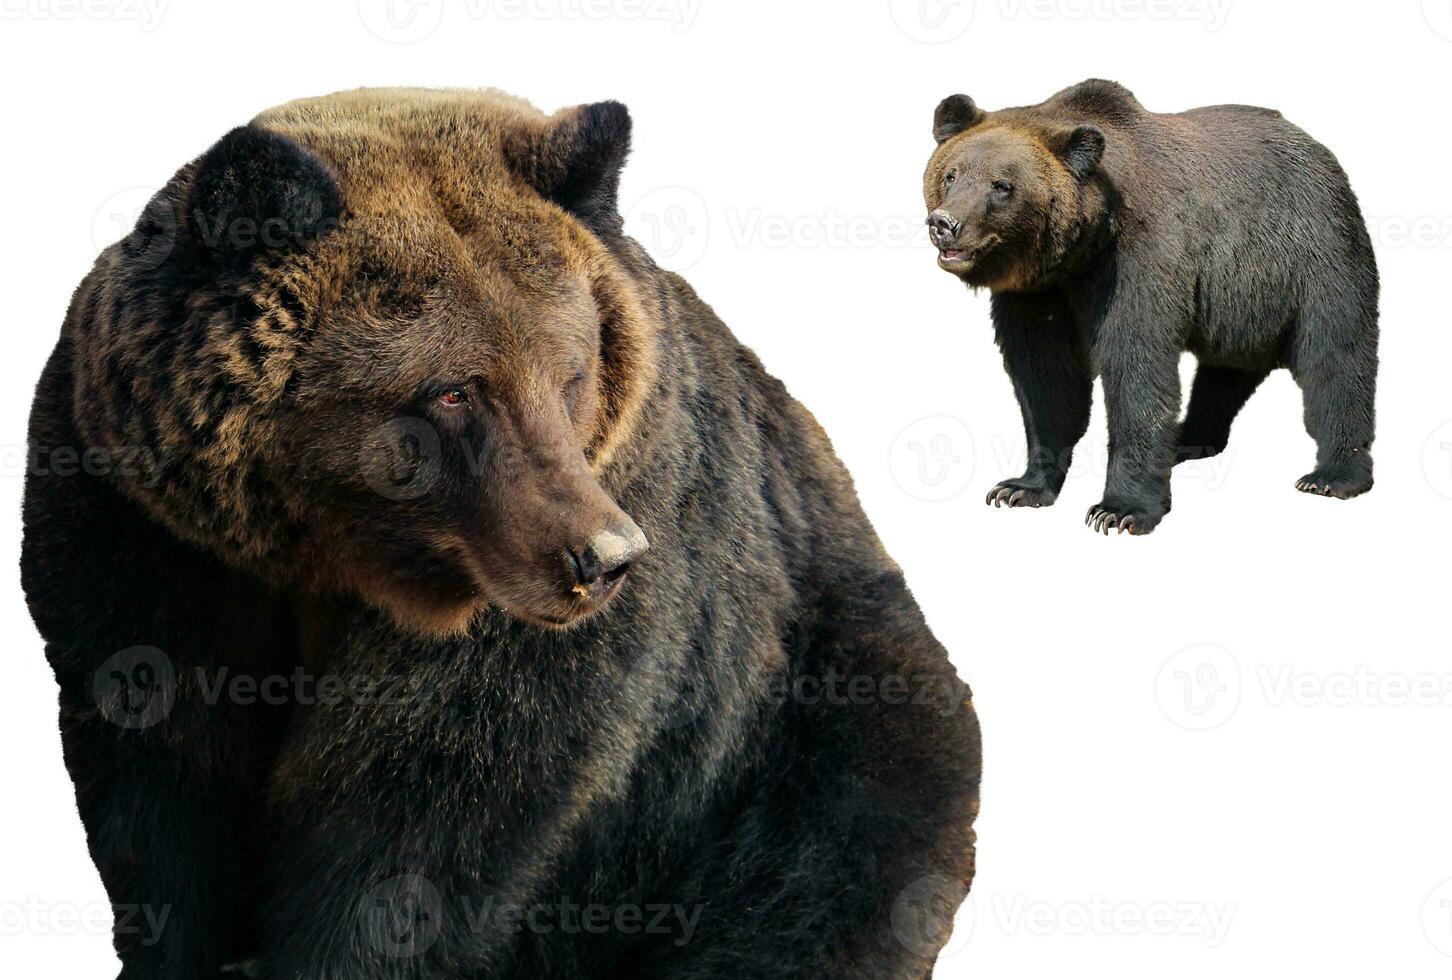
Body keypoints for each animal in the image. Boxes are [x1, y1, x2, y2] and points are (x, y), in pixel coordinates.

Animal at [19, 90, 975, 980]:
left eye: (570, 371)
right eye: (453, 389)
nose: (603, 558)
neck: (331, 557)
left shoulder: (557, 586)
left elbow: (426, 803)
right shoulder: (152, 534)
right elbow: (166, 775)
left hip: (811, 717)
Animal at [923, 79, 1376, 534]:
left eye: (1002, 185)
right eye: (951, 174)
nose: (944, 224)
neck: (1080, 250)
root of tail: (1319, 148)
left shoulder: (1138, 256)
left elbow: (1135, 366)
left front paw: (1120, 509)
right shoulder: (1037, 293)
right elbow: (1045, 376)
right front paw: (1020, 487)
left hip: (1313, 252)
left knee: (1335, 357)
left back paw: (1333, 475)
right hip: (1243, 301)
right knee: (1226, 370)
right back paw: (1189, 440)